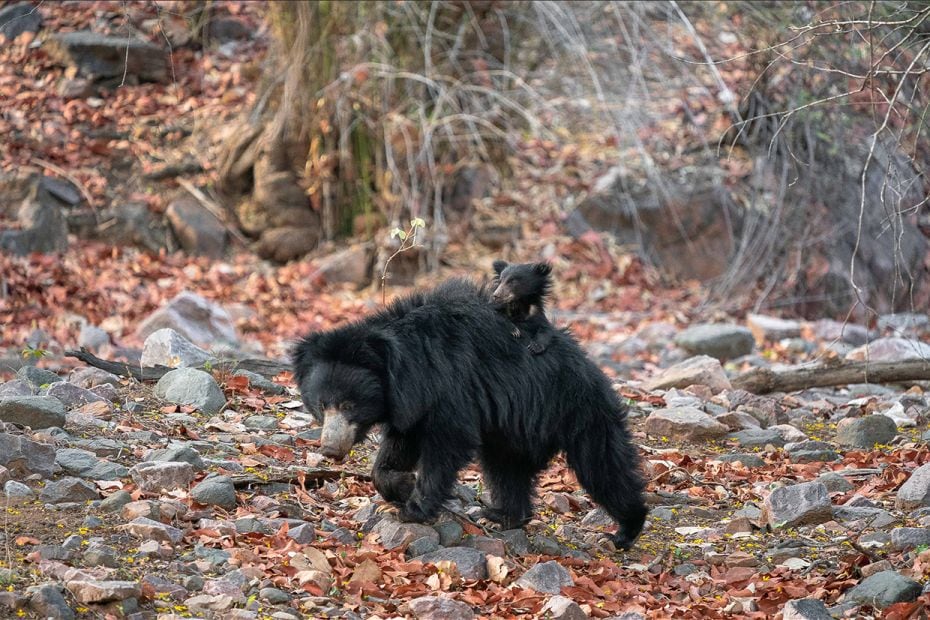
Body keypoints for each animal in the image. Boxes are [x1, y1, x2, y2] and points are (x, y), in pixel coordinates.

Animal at [290, 278, 644, 548]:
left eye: (349, 405)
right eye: (321, 405)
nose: (329, 448)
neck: (405, 370)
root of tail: (592, 368)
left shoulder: (448, 386)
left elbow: (449, 441)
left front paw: (416, 507)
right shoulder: (410, 405)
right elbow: (400, 445)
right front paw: (401, 484)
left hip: (577, 411)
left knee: (603, 467)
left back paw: (624, 531)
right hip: (514, 432)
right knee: (507, 469)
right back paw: (503, 515)